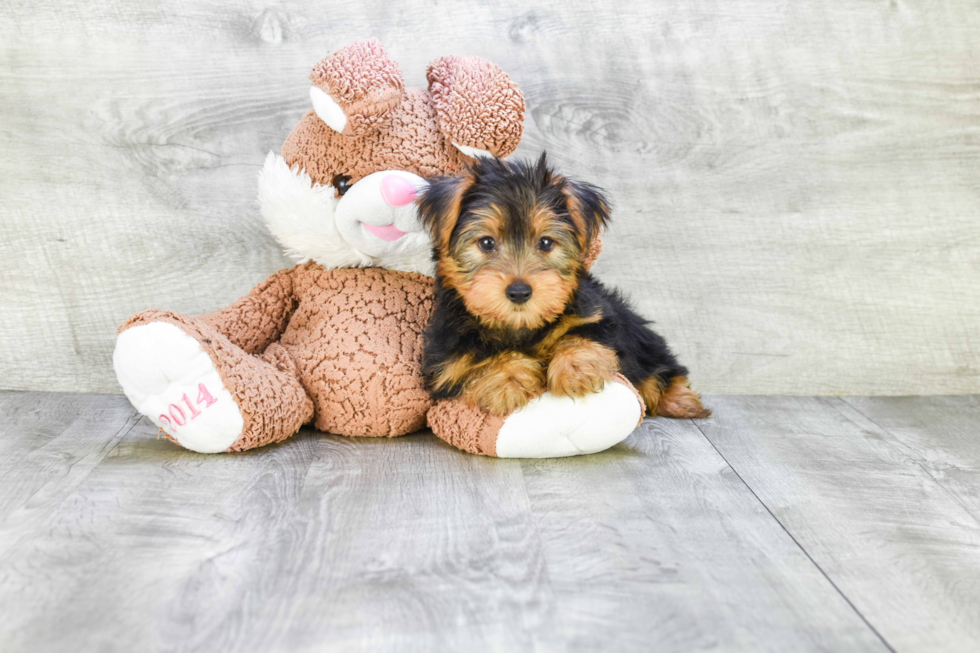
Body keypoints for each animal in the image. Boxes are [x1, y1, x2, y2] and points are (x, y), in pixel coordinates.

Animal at [418, 153, 708, 418]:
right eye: (486, 243)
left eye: (546, 243)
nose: (519, 292)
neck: (521, 327)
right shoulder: (447, 362)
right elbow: (478, 362)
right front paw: (508, 379)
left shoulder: (598, 315)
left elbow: (580, 333)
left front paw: (576, 368)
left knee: (658, 365)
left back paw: (681, 400)